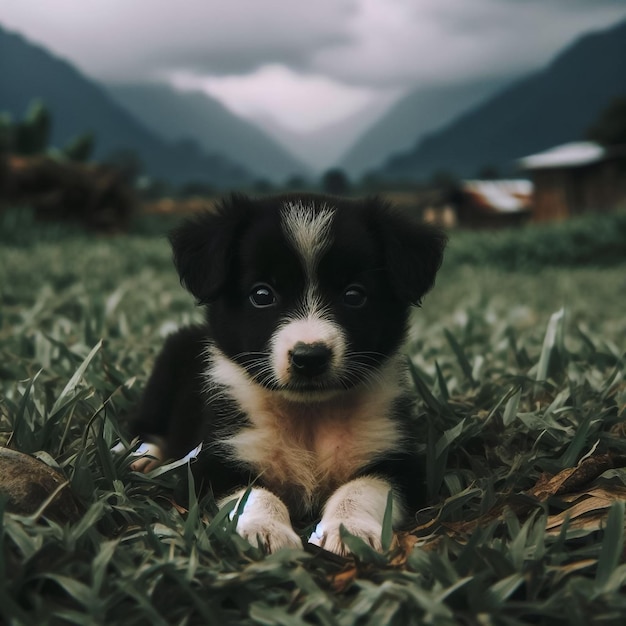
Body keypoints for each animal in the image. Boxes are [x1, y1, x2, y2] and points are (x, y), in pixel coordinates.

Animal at [128, 193, 444, 552]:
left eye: (354, 295)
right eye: (262, 294)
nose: (310, 357)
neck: (308, 416)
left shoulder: (396, 458)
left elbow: (362, 488)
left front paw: (348, 531)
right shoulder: (217, 458)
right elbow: (253, 494)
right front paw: (266, 531)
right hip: (165, 373)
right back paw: (143, 458)